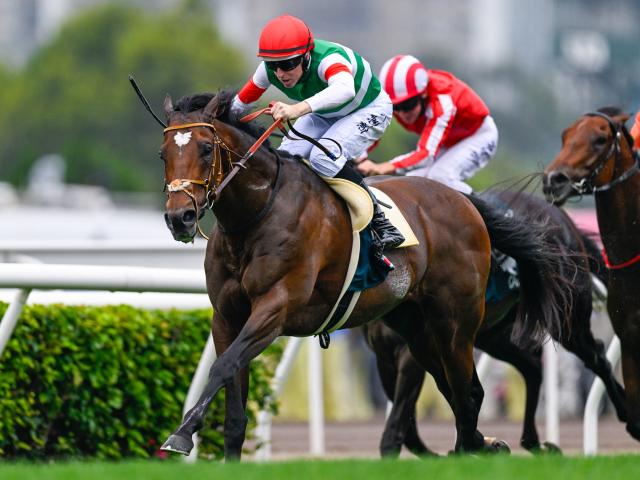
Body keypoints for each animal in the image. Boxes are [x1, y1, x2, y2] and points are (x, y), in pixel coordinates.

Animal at [156, 89, 570, 460]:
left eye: (205, 149)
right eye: (164, 154)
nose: (181, 217)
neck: (257, 215)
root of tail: (466, 202)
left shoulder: (276, 308)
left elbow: (223, 365)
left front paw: (182, 433)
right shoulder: (227, 317)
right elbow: (232, 403)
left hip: (456, 324)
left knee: (467, 393)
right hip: (418, 329)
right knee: (464, 391)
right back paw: (485, 445)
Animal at [363, 190, 626, 457]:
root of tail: (559, 215)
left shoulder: (412, 352)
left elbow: (402, 420)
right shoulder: (386, 357)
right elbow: (413, 424)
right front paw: (477, 444)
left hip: (565, 317)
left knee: (598, 358)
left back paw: (627, 413)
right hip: (492, 336)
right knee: (532, 366)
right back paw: (533, 442)